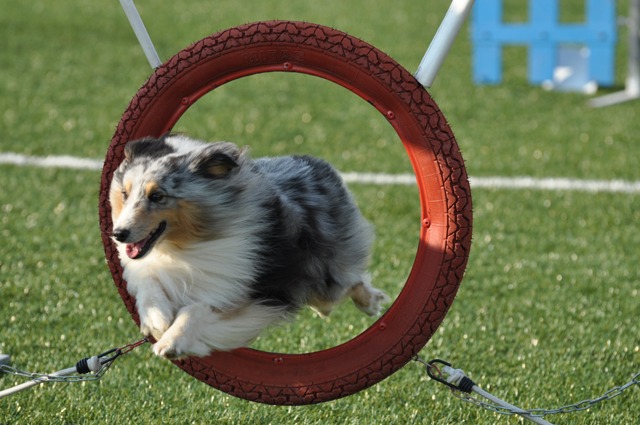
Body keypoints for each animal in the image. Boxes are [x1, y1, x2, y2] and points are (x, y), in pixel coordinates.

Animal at [109, 134, 388, 356]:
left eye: (157, 196)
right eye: (125, 193)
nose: (118, 234)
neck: (182, 246)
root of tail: (314, 163)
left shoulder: (251, 292)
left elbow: (199, 308)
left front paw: (171, 342)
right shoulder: (152, 265)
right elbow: (148, 281)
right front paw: (157, 319)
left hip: (322, 272)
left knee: (347, 283)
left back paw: (371, 302)